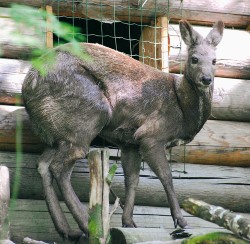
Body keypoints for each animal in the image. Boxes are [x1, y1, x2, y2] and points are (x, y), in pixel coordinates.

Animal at [22, 19, 224, 240]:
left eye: (215, 61)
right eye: (194, 59)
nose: (206, 79)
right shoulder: (151, 135)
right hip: (86, 116)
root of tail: (27, 85)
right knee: (59, 167)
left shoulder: (130, 142)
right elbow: (166, 176)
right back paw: (89, 226)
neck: (182, 109)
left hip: (56, 130)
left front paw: (129, 222)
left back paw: (68, 230)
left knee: (42, 164)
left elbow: (132, 180)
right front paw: (181, 221)